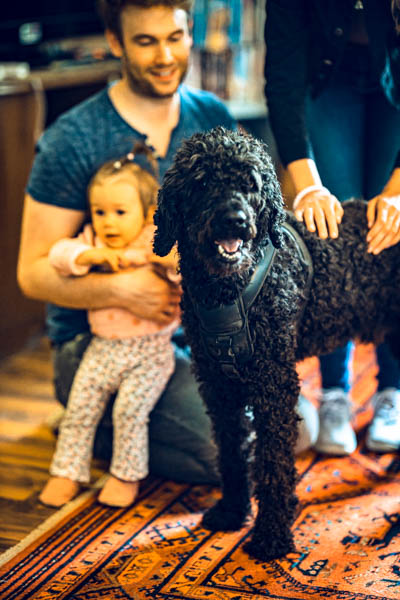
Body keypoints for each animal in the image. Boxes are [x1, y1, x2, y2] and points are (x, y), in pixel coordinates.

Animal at [153, 126, 400, 561]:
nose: (235, 220)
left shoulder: (274, 386)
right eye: (202, 183)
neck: (228, 292)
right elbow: (232, 453)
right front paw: (231, 511)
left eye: (250, 185)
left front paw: (270, 535)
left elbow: (272, 463)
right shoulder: (218, 385)